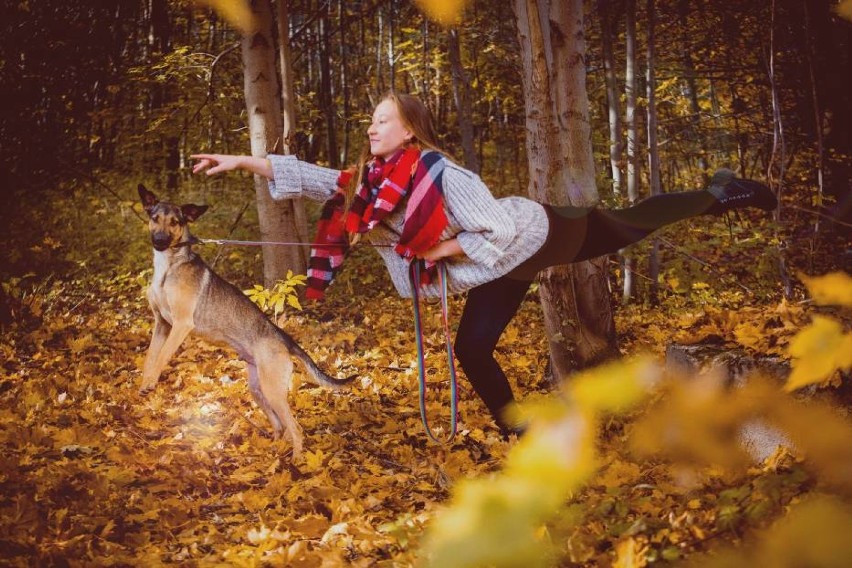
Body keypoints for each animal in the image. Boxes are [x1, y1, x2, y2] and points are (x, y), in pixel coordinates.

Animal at [140, 184, 352, 460]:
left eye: (175, 222)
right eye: (155, 218)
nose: (159, 241)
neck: (169, 265)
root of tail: (284, 338)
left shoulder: (181, 325)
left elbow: (162, 356)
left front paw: (152, 381)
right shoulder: (162, 325)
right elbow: (150, 359)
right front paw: (145, 384)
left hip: (272, 389)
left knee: (295, 428)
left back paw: (298, 461)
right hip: (258, 388)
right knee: (280, 426)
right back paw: (272, 451)